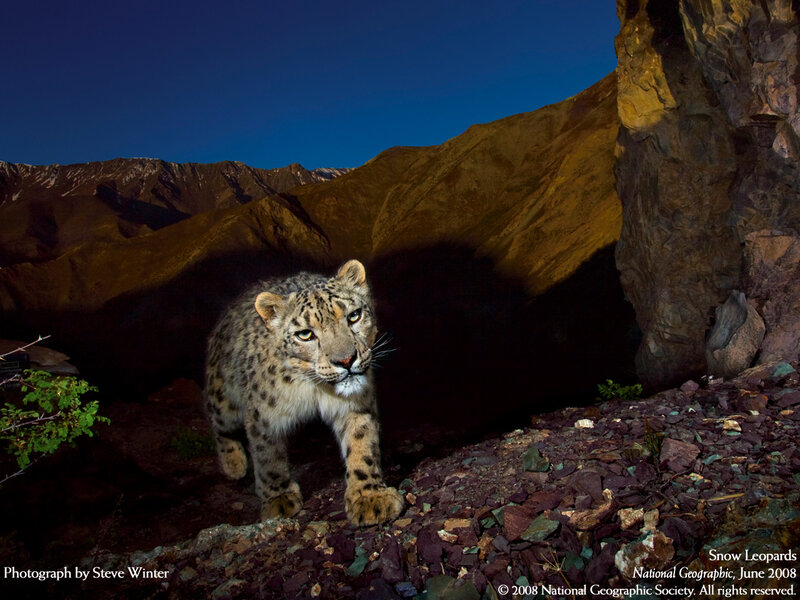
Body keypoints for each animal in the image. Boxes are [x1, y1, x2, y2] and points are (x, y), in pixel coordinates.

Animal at [204, 259, 404, 526]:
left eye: (353, 316)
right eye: (305, 334)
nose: (346, 360)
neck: (315, 390)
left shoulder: (354, 405)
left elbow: (362, 445)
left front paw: (370, 497)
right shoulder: (263, 417)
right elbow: (267, 457)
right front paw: (278, 499)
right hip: (224, 401)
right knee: (218, 422)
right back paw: (233, 464)